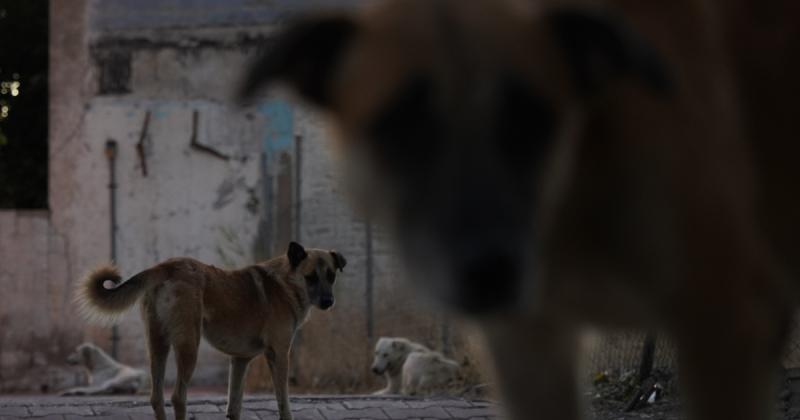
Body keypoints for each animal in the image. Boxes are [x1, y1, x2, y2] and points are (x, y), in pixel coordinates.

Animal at [76, 241, 346, 420]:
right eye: (311, 277)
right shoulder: (279, 355)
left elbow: (234, 406)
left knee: (156, 398)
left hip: (158, 345)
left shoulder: (239, 361)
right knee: (178, 397)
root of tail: (167, 266)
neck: (285, 283)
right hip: (189, 347)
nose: (328, 302)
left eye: (331, 276)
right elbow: (284, 403)